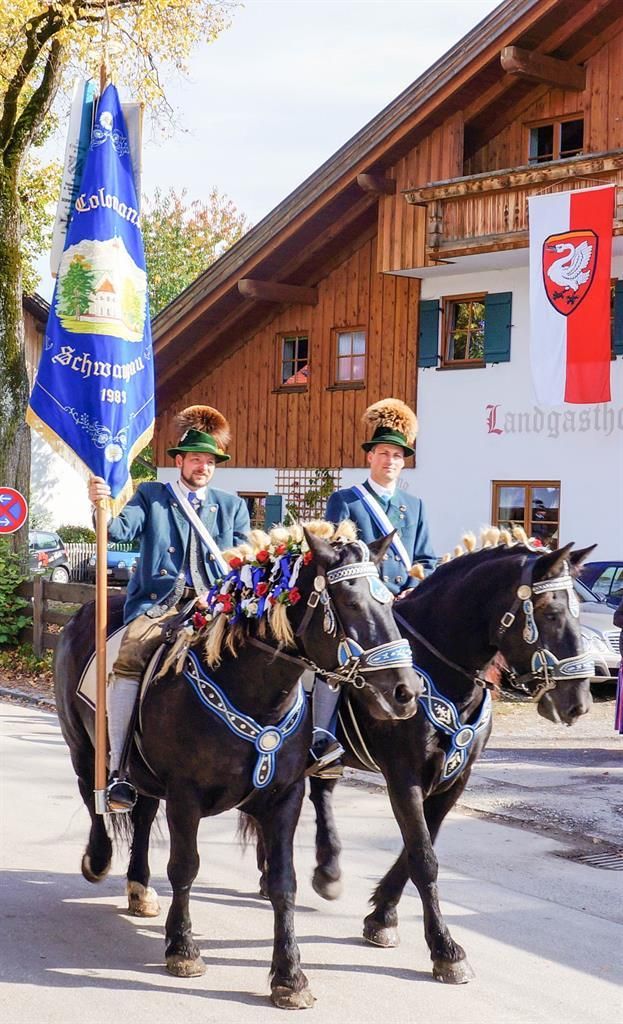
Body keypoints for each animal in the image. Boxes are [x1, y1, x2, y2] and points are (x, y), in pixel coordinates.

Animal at [54, 524, 424, 1011]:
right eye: (349, 601)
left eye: (390, 601)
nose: (405, 691)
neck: (250, 689)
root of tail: (81, 614)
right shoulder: (186, 796)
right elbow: (185, 866)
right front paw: (183, 949)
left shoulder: (285, 797)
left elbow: (284, 883)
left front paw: (290, 976)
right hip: (83, 748)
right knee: (93, 795)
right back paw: (98, 860)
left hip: (146, 776)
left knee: (142, 814)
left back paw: (139, 887)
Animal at [309, 544, 594, 983]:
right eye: (549, 612)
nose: (578, 703)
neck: (441, 670)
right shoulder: (403, 776)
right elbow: (424, 858)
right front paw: (446, 949)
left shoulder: (454, 778)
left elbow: (419, 848)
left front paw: (383, 916)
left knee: (318, 792)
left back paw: (326, 872)